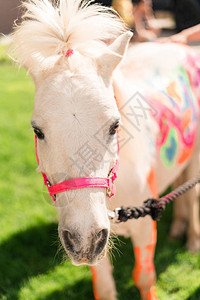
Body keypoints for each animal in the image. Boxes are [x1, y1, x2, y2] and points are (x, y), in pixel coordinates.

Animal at [12, 1, 200, 298]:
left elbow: (144, 277)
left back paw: (192, 242)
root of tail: (179, 44)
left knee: (192, 196)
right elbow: (104, 286)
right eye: (38, 131)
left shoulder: (144, 225)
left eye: (114, 126)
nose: (84, 240)